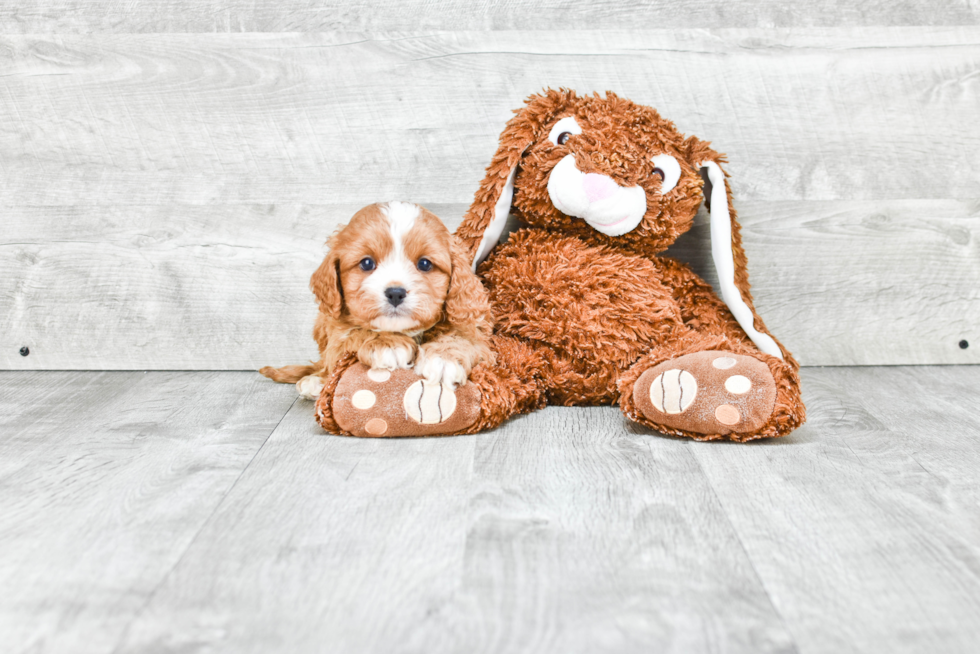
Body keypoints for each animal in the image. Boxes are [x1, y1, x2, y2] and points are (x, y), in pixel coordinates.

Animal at [262, 202, 494, 402]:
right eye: (366, 263)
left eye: (425, 264)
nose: (395, 293)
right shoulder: (336, 332)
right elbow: (354, 332)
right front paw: (387, 343)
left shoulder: (476, 331)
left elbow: (463, 337)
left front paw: (443, 358)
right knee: (325, 364)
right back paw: (315, 382)